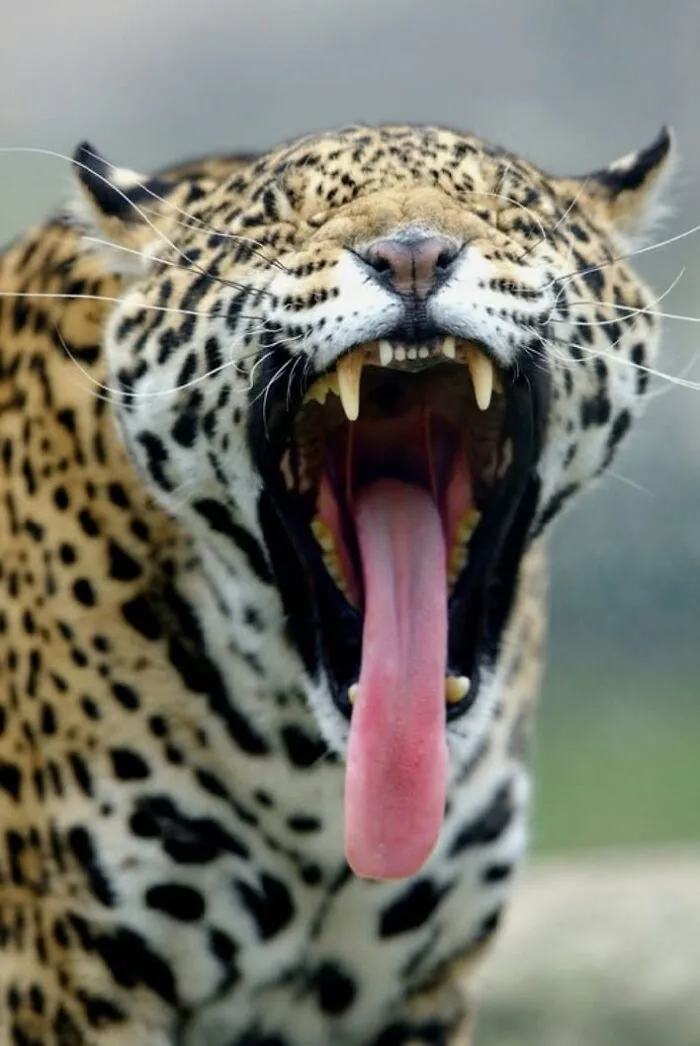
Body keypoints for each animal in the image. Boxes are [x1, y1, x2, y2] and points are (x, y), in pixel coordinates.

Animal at [0, 122, 674, 1045]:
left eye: (504, 209)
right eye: (285, 222)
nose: (413, 257)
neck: (313, 788)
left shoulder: (416, 993)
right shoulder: (73, 983)